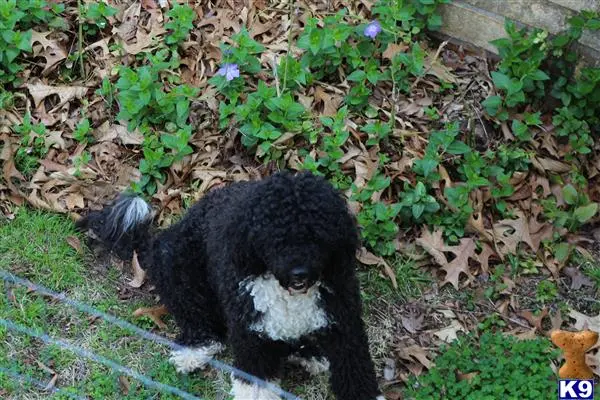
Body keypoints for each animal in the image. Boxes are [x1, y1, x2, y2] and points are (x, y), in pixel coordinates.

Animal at [76, 170, 384, 398]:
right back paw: (194, 351)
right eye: (275, 236)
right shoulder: (252, 339)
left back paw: (310, 353)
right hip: (179, 269)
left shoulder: (345, 328)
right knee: (200, 323)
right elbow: (254, 387)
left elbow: (357, 376)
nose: (300, 273)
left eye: (318, 235)